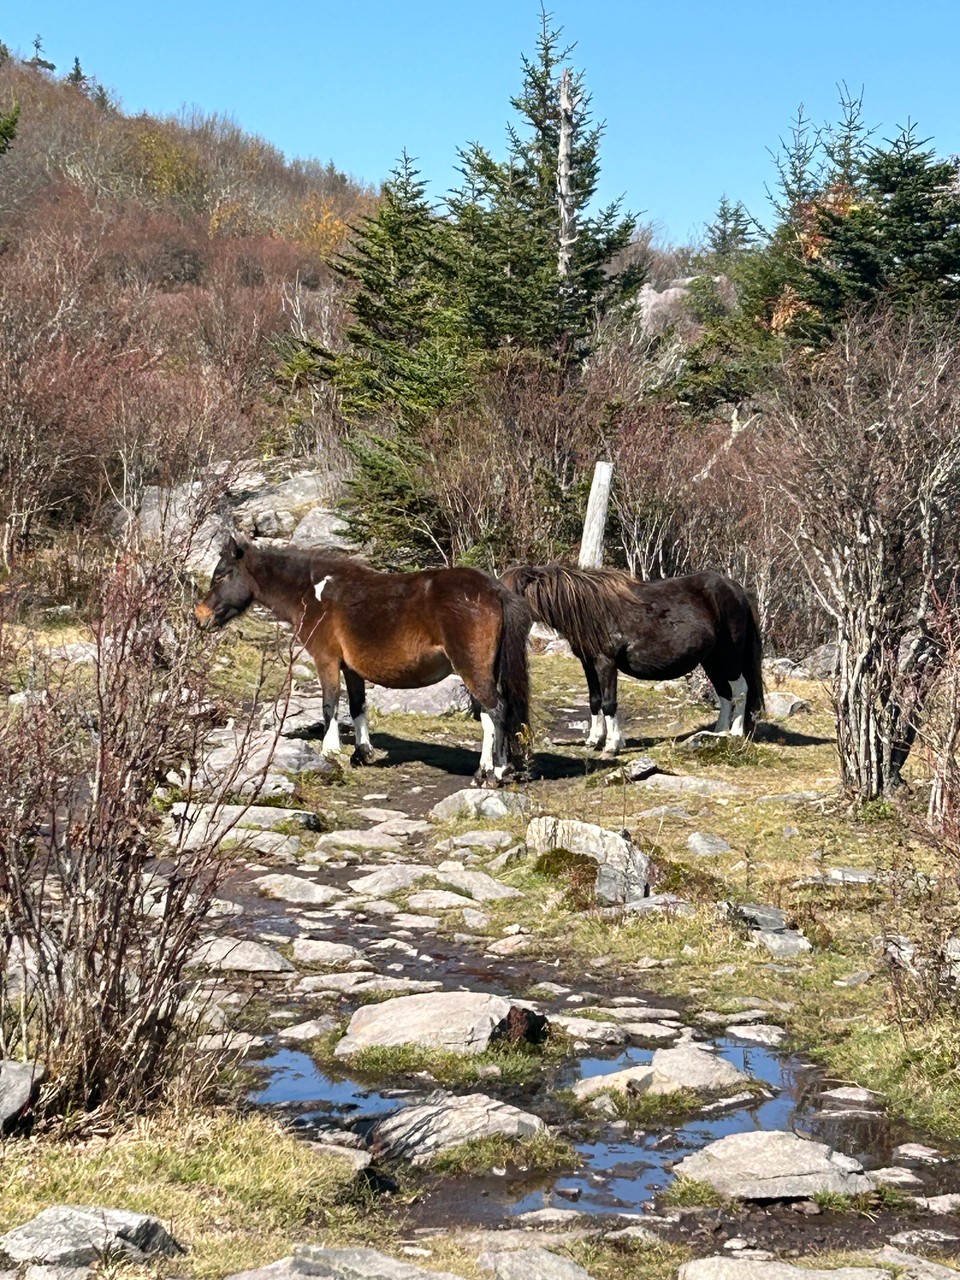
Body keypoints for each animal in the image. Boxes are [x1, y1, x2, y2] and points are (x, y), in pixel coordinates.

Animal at [195, 537, 531, 785]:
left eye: (222, 574)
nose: (200, 616)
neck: (315, 592)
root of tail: (493, 589)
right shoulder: (352, 668)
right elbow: (358, 706)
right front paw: (362, 753)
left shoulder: (327, 661)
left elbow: (329, 704)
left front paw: (330, 751)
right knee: (488, 717)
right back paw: (482, 771)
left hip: (472, 668)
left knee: (497, 711)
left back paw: (498, 772)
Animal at [502, 564, 764, 756]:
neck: (591, 610)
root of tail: (737, 590)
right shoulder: (588, 664)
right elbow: (595, 701)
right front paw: (594, 739)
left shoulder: (606, 663)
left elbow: (609, 703)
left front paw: (612, 744)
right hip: (711, 661)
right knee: (725, 693)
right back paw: (719, 734)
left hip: (728, 657)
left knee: (740, 689)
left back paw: (735, 734)